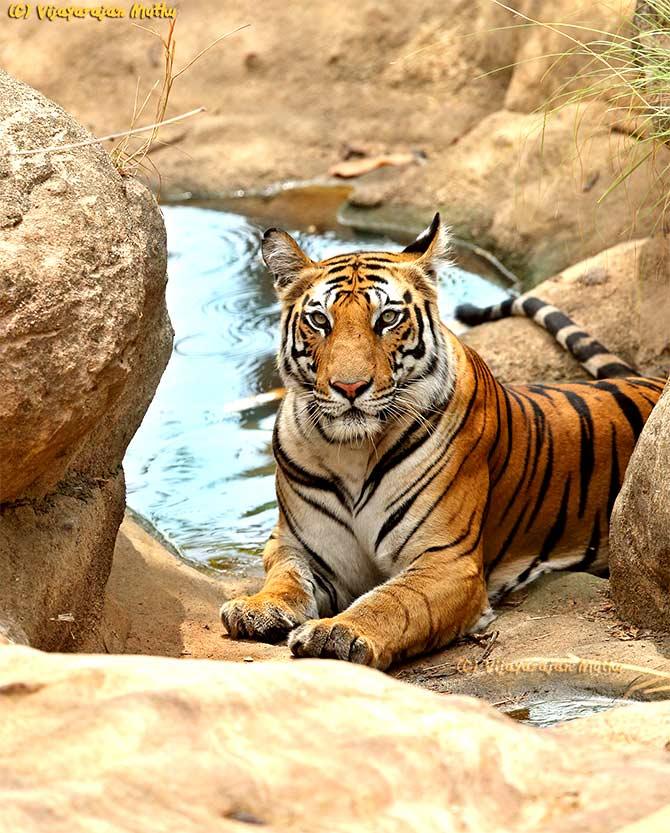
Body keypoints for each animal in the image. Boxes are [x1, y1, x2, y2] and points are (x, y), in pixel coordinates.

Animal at [222, 214, 668, 668]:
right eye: (319, 322)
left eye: (387, 318)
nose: (350, 387)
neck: (352, 450)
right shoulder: (298, 544)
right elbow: (286, 574)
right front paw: (258, 606)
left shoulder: (447, 560)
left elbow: (390, 602)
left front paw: (337, 631)